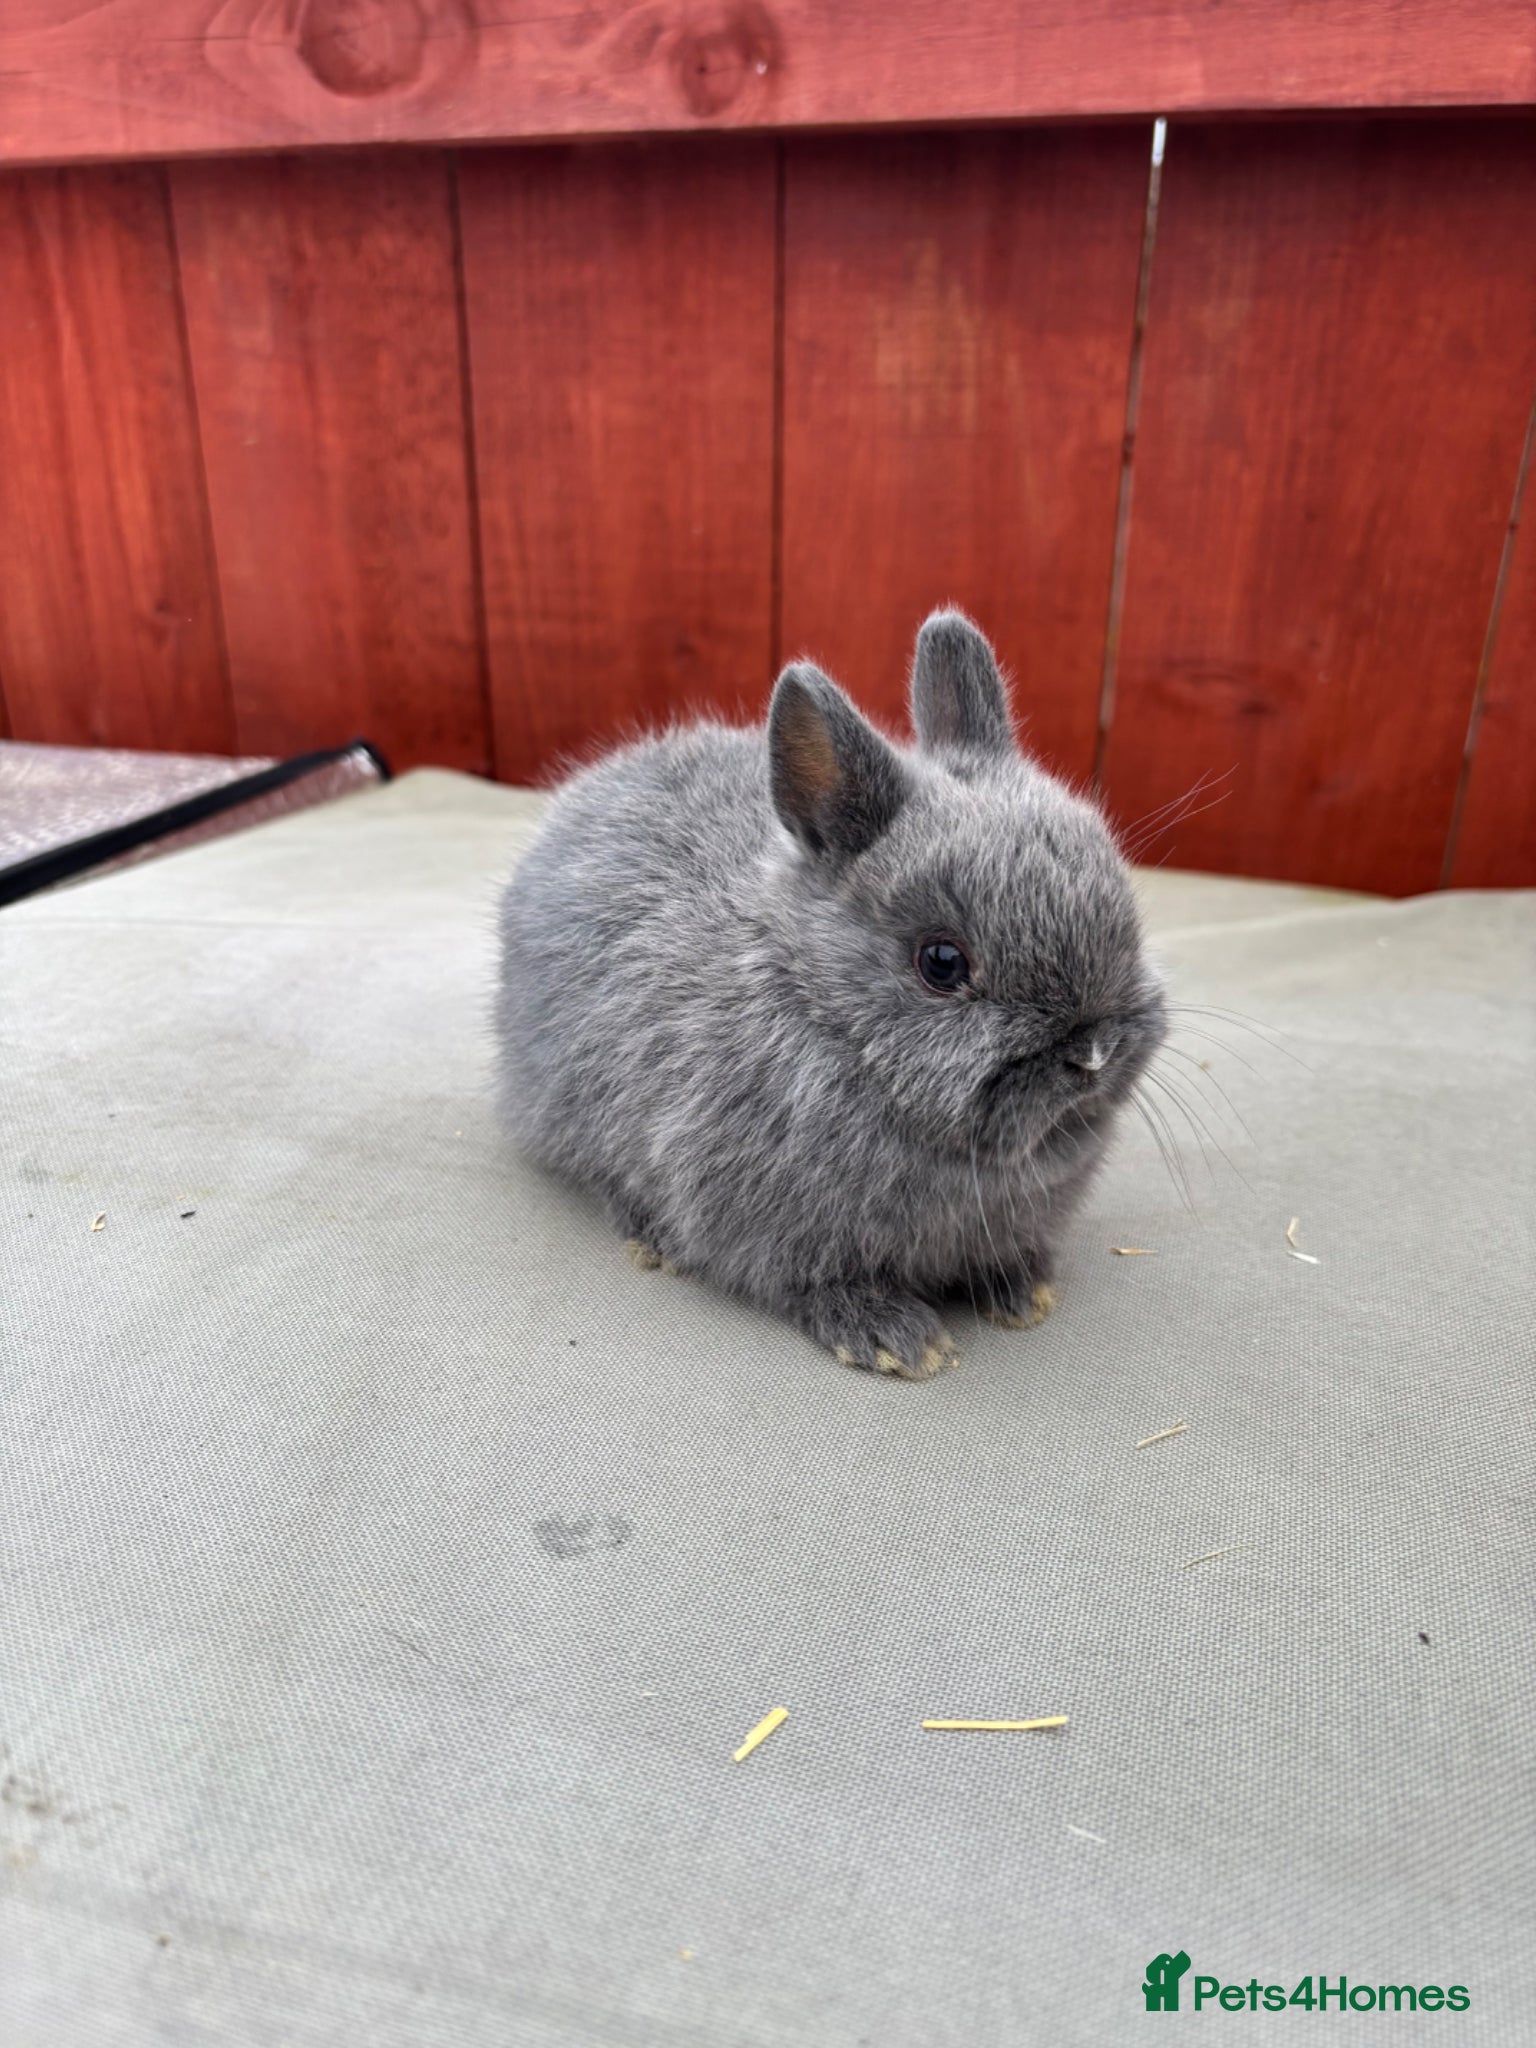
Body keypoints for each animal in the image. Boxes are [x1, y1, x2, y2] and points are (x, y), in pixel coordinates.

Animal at [493, 610, 1167, 1380]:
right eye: (941, 962)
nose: (1092, 1053)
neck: (825, 1013)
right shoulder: (765, 1224)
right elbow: (812, 1281)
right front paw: (898, 1340)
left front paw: (1023, 1294)